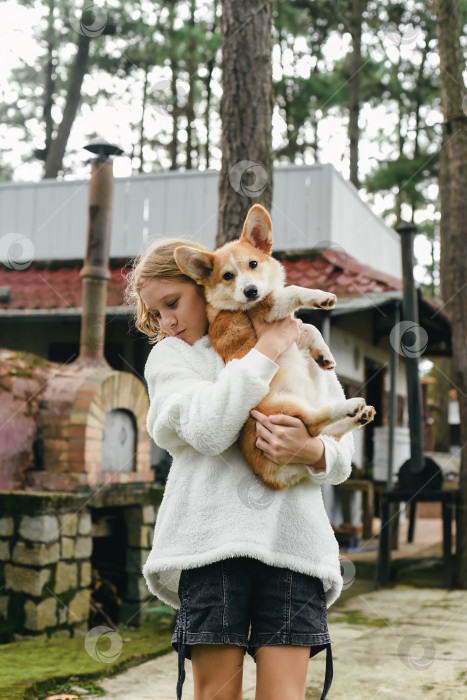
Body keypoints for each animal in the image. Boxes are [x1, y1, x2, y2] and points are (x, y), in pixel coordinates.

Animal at [176, 202, 376, 490]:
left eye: (253, 264)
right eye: (227, 276)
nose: (250, 291)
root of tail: (277, 477)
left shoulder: (292, 330)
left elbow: (310, 328)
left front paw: (323, 355)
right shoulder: (267, 309)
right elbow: (293, 290)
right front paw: (319, 296)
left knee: (323, 436)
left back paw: (360, 416)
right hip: (284, 409)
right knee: (314, 424)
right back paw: (350, 407)